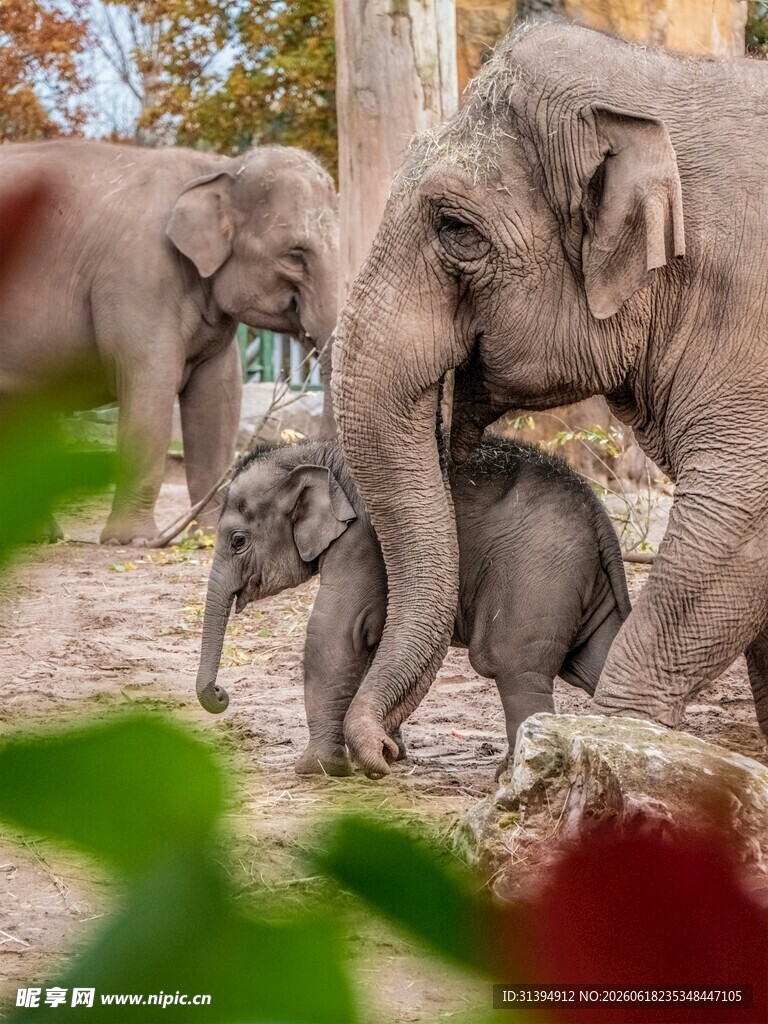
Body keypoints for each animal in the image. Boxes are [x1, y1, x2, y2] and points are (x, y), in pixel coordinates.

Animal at [0, 140, 338, 544]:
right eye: (295, 255)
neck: (219, 168)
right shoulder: (138, 278)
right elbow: (150, 391)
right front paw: (133, 540)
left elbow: (218, 401)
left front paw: (206, 535)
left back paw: (42, 537)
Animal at [194, 435, 630, 777]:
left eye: (237, 541)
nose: (220, 693)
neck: (318, 452)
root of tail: (600, 516)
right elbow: (376, 637)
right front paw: (394, 755)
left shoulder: (361, 541)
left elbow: (338, 631)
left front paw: (317, 769)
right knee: (597, 657)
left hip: (536, 572)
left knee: (512, 664)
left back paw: (513, 775)